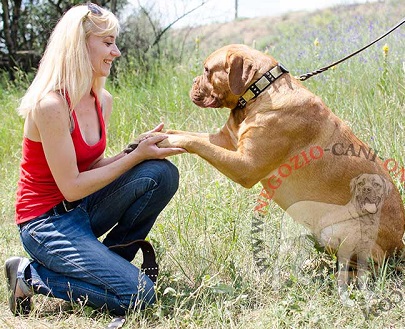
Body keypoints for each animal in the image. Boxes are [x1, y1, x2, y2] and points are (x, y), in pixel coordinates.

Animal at [153, 43, 402, 300]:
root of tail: (399, 246)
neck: (259, 90)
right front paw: (156, 135)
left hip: (338, 231)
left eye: (207, 70)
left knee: (370, 267)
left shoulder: (245, 165)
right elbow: (191, 135)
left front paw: (166, 140)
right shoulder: (226, 141)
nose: (192, 83)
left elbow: (195, 141)